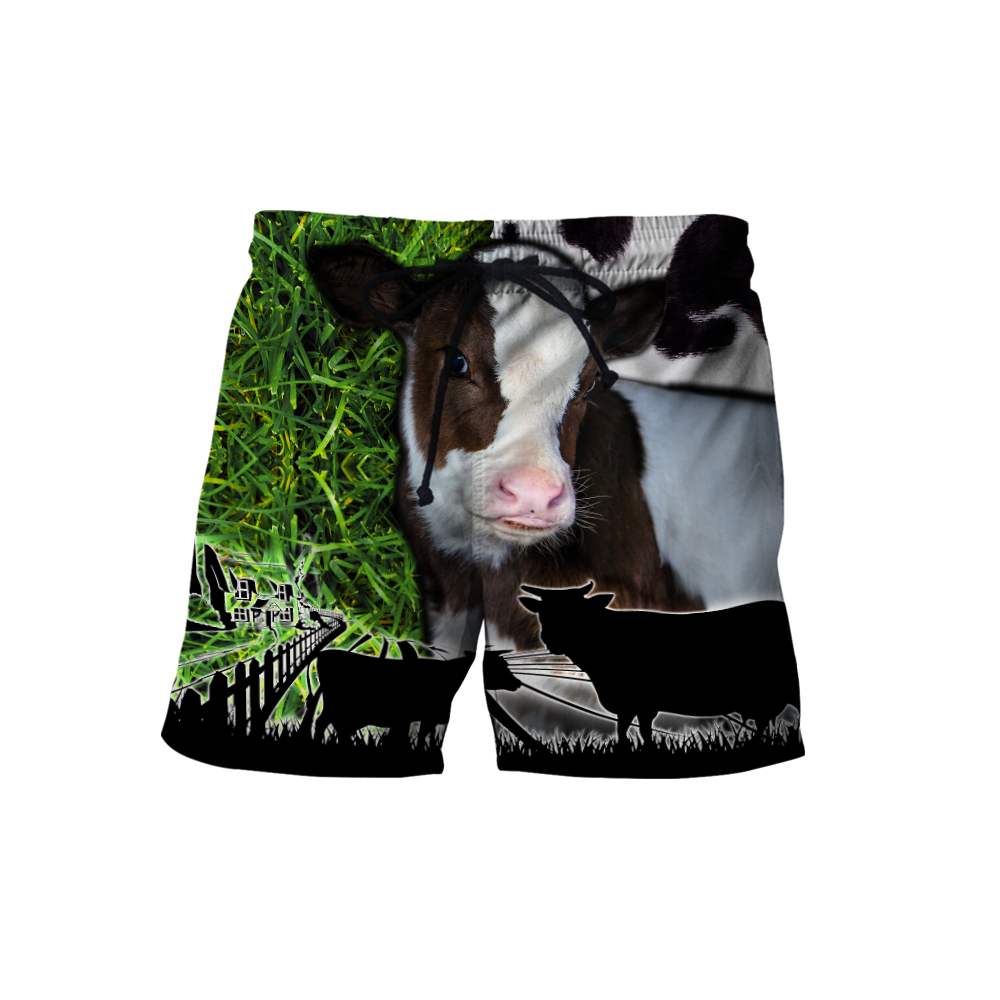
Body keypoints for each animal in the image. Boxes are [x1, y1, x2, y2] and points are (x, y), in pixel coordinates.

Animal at [517, 582, 800, 750]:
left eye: (578, 612)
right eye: (543, 612)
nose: (551, 638)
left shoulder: (640, 700)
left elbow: (636, 729)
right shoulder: (632, 702)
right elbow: (629, 729)